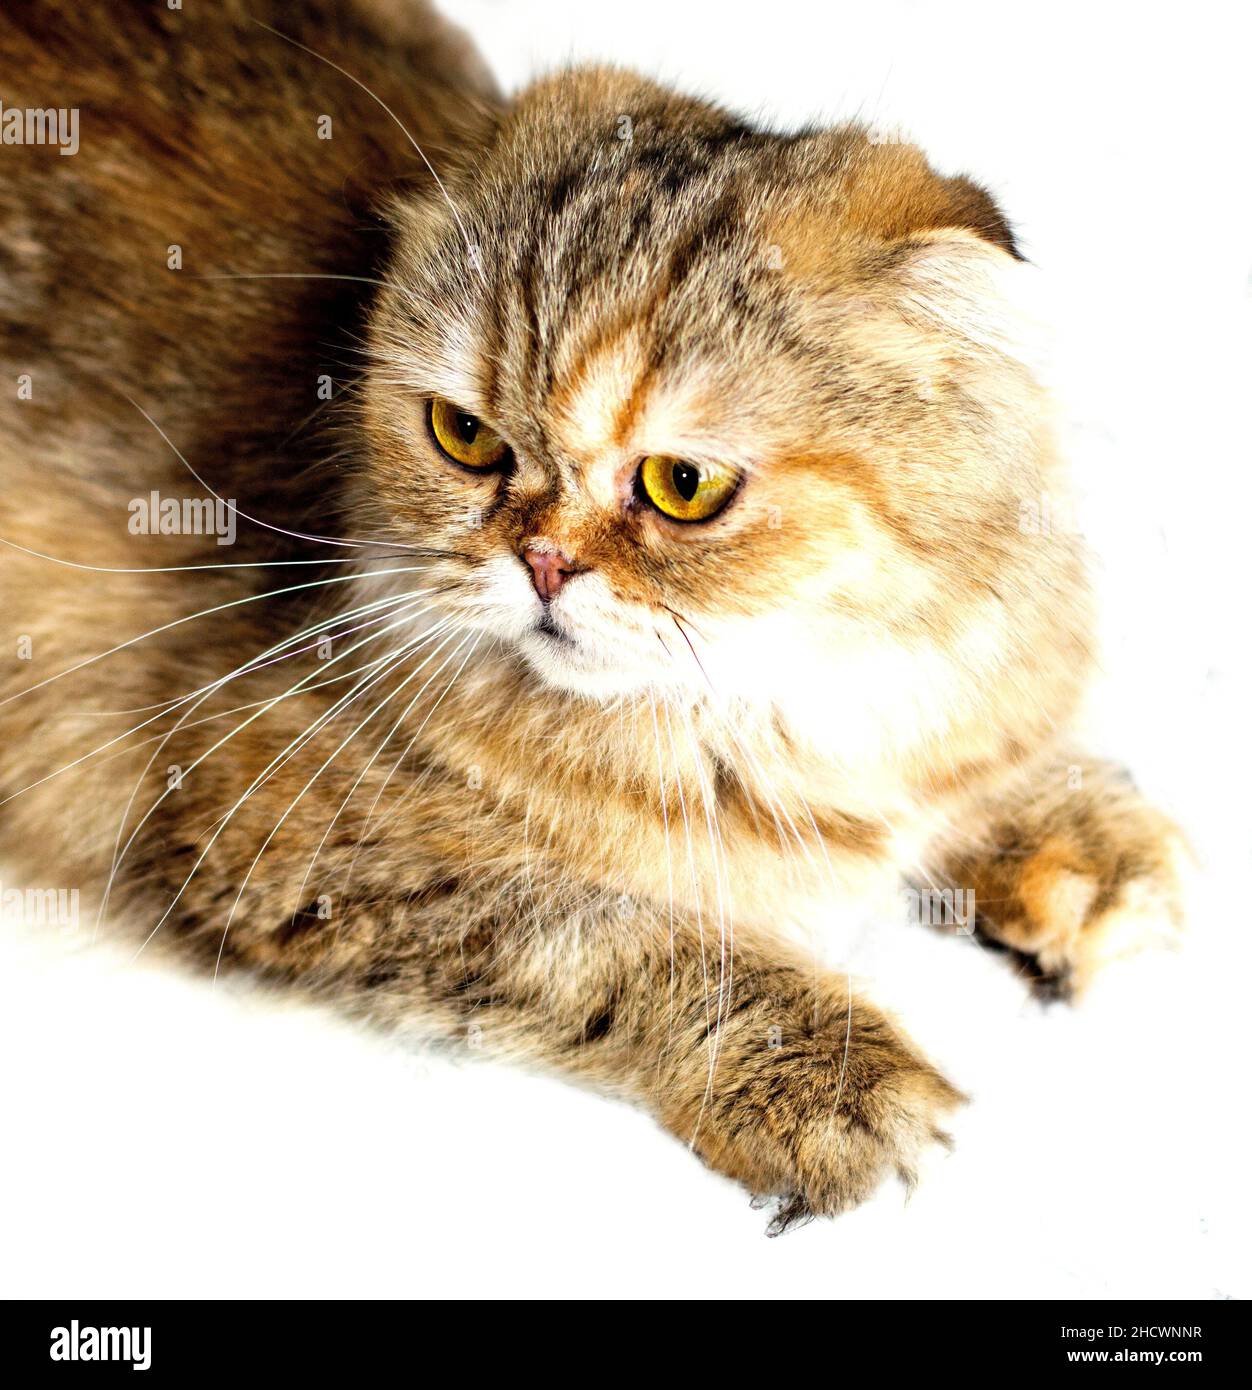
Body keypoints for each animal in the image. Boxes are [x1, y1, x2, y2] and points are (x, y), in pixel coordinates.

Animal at [0, 0, 1189, 1228]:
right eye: (466, 437)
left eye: (682, 485)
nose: (541, 562)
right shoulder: (284, 821)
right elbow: (632, 936)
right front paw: (834, 1077)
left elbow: (994, 768)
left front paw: (1085, 841)